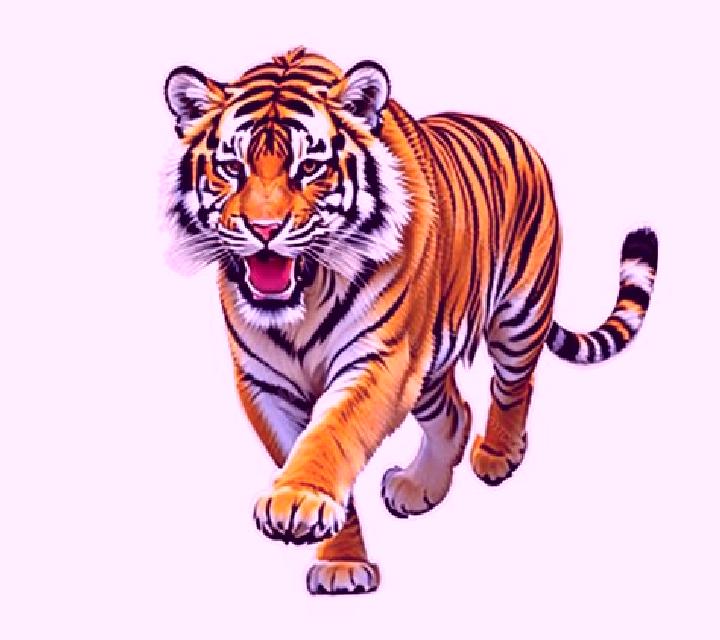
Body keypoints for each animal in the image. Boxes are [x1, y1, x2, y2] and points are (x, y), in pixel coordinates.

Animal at [162, 46, 658, 595]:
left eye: (309, 167)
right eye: (231, 167)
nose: (264, 229)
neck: (304, 298)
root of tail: (509, 131)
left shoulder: (379, 359)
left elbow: (330, 434)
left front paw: (301, 500)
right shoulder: (265, 383)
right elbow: (305, 448)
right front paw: (341, 564)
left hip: (519, 314)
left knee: (513, 386)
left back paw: (498, 455)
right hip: (428, 365)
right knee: (454, 414)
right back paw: (420, 488)